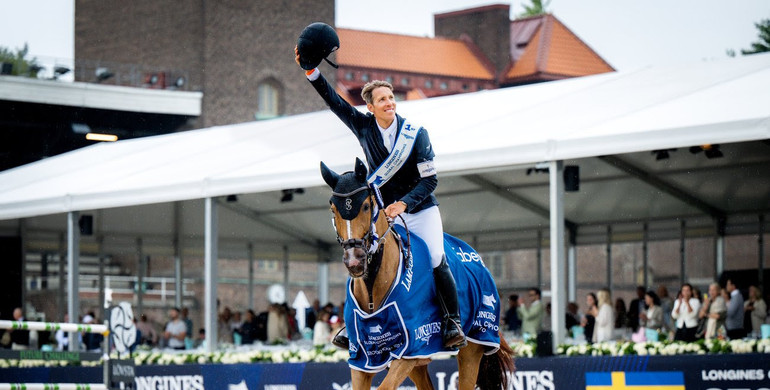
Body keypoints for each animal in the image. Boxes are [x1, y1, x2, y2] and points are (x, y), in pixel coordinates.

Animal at [320, 159, 512, 390]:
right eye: (333, 209)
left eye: (366, 206)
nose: (354, 261)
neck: (373, 286)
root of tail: (477, 260)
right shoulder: (362, 359)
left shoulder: (411, 350)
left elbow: (385, 387)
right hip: (419, 363)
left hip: (472, 348)